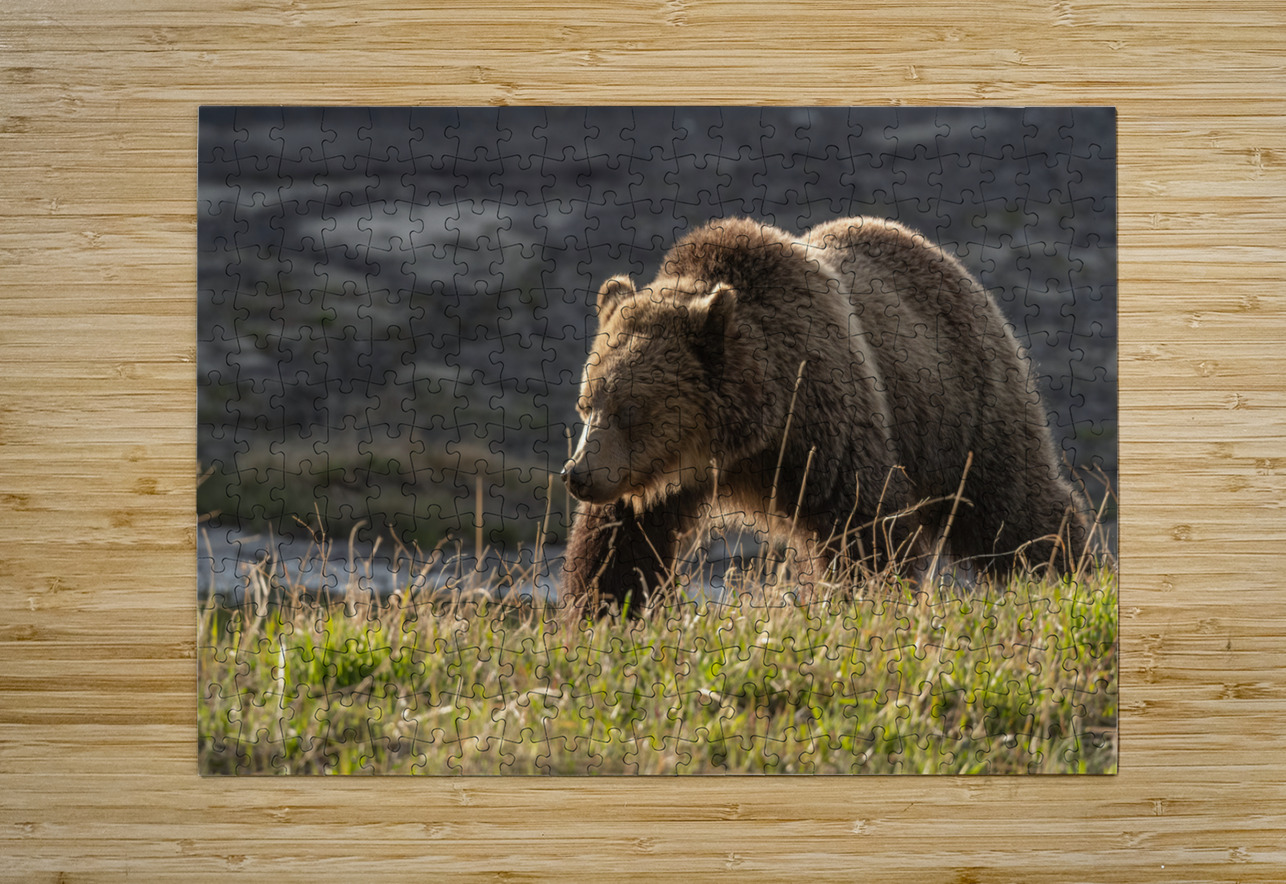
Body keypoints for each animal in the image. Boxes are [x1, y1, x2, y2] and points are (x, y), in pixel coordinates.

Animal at [560, 216, 1088, 616]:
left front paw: (863, 603)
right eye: (586, 404)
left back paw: (1062, 570)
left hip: (962, 403)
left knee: (1010, 503)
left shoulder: (822, 417)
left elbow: (862, 524)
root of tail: (940, 255)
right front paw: (604, 612)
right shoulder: (655, 479)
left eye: (631, 409)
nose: (576, 475)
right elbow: (618, 544)